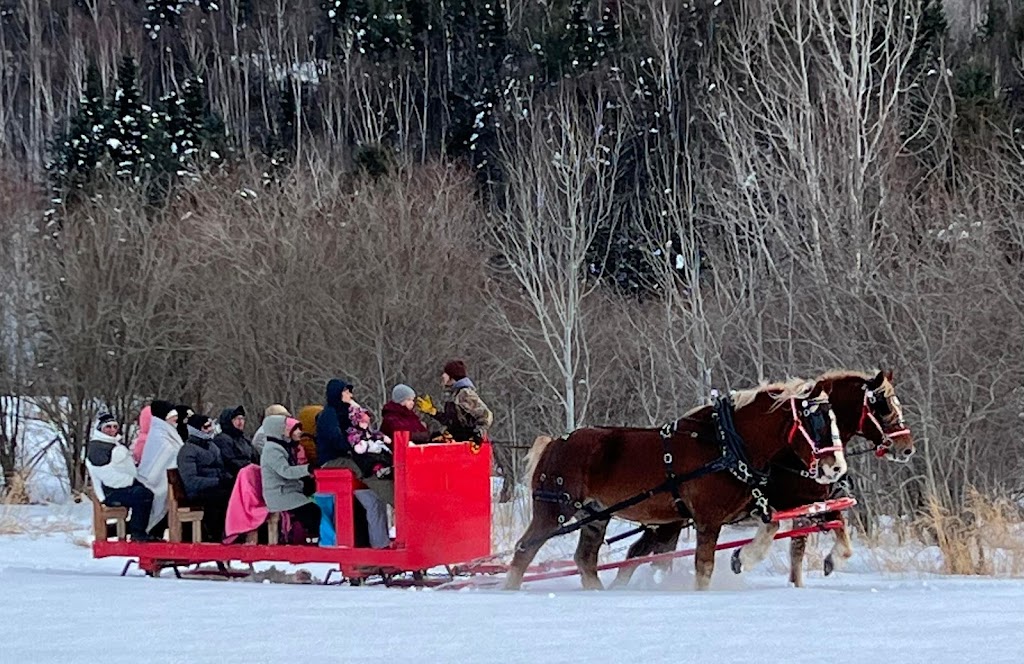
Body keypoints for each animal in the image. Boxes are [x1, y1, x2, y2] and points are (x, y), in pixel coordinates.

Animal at [505, 379, 847, 590]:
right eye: (816, 424)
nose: (837, 468)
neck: (725, 444)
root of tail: (553, 443)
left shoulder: (747, 508)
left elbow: (771, 526)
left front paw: (742, 558)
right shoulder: (708, 518)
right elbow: (704, 566)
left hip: (595, 516)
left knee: (585, 560)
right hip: (554, 510)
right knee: (524, 551)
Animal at [610, 370, 917, 590]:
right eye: (882, 405)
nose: (907, 447)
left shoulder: (812, 503)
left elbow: (833, 530)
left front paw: (828, 563)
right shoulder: (785, 503)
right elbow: (791, 541)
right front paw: (743, 558)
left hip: (670, 521)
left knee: (639, 554)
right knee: (639, 554)